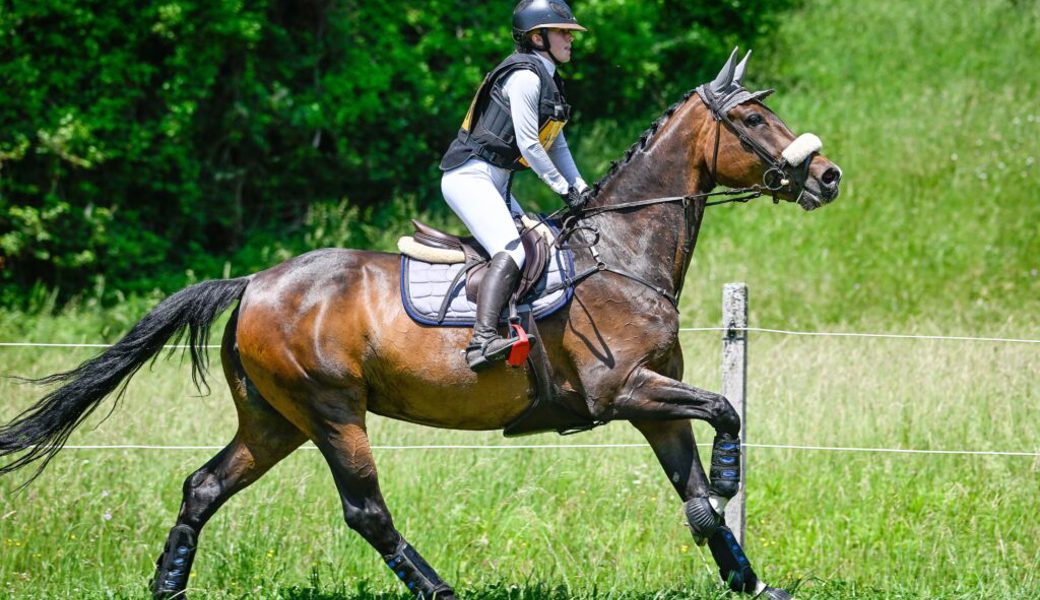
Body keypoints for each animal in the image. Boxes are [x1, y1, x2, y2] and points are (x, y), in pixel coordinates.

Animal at [0, 49, 836, 594]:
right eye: (753, 115)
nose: (827, 177)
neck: (625, 250)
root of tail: (254, 283)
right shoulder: (622, 391)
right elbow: (725, 411)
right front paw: (730, 476)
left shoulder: (652, 402)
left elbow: (694, 487)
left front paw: (746, 574)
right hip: (330, 409)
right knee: (366, 511)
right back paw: (438, 590)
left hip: (273, 418)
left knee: (203, 487)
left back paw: (168, 585)